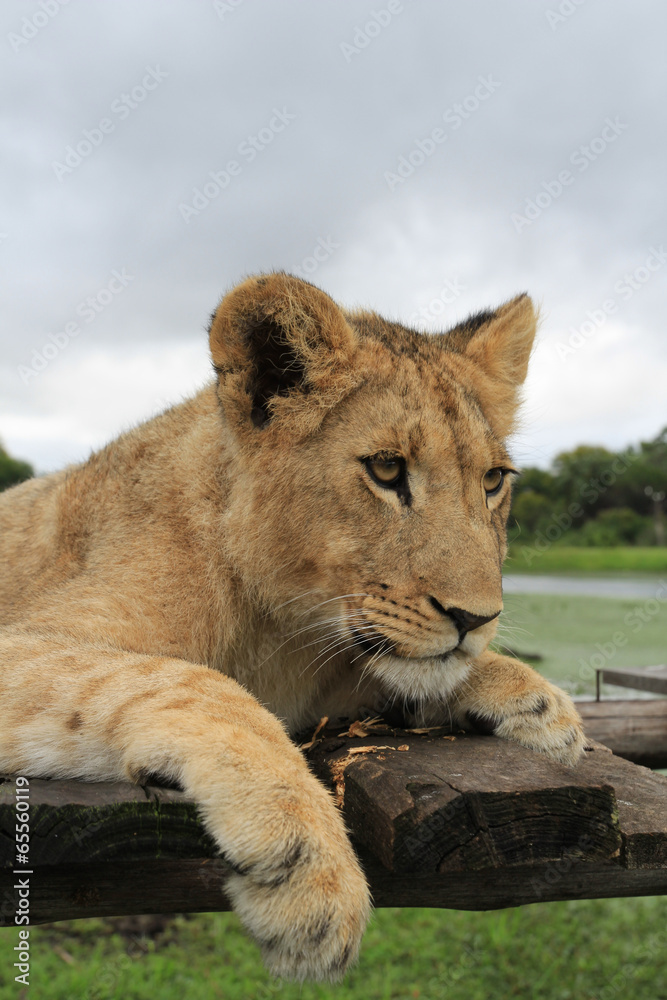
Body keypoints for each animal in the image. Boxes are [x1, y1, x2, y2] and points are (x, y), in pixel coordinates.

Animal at [0, 273, 584, 980]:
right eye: (387, 469)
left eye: (494, 480)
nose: (476, 618)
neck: (278, 630)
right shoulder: (28, 637)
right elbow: (197, 684)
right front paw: (310, 870)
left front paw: (541, 705)